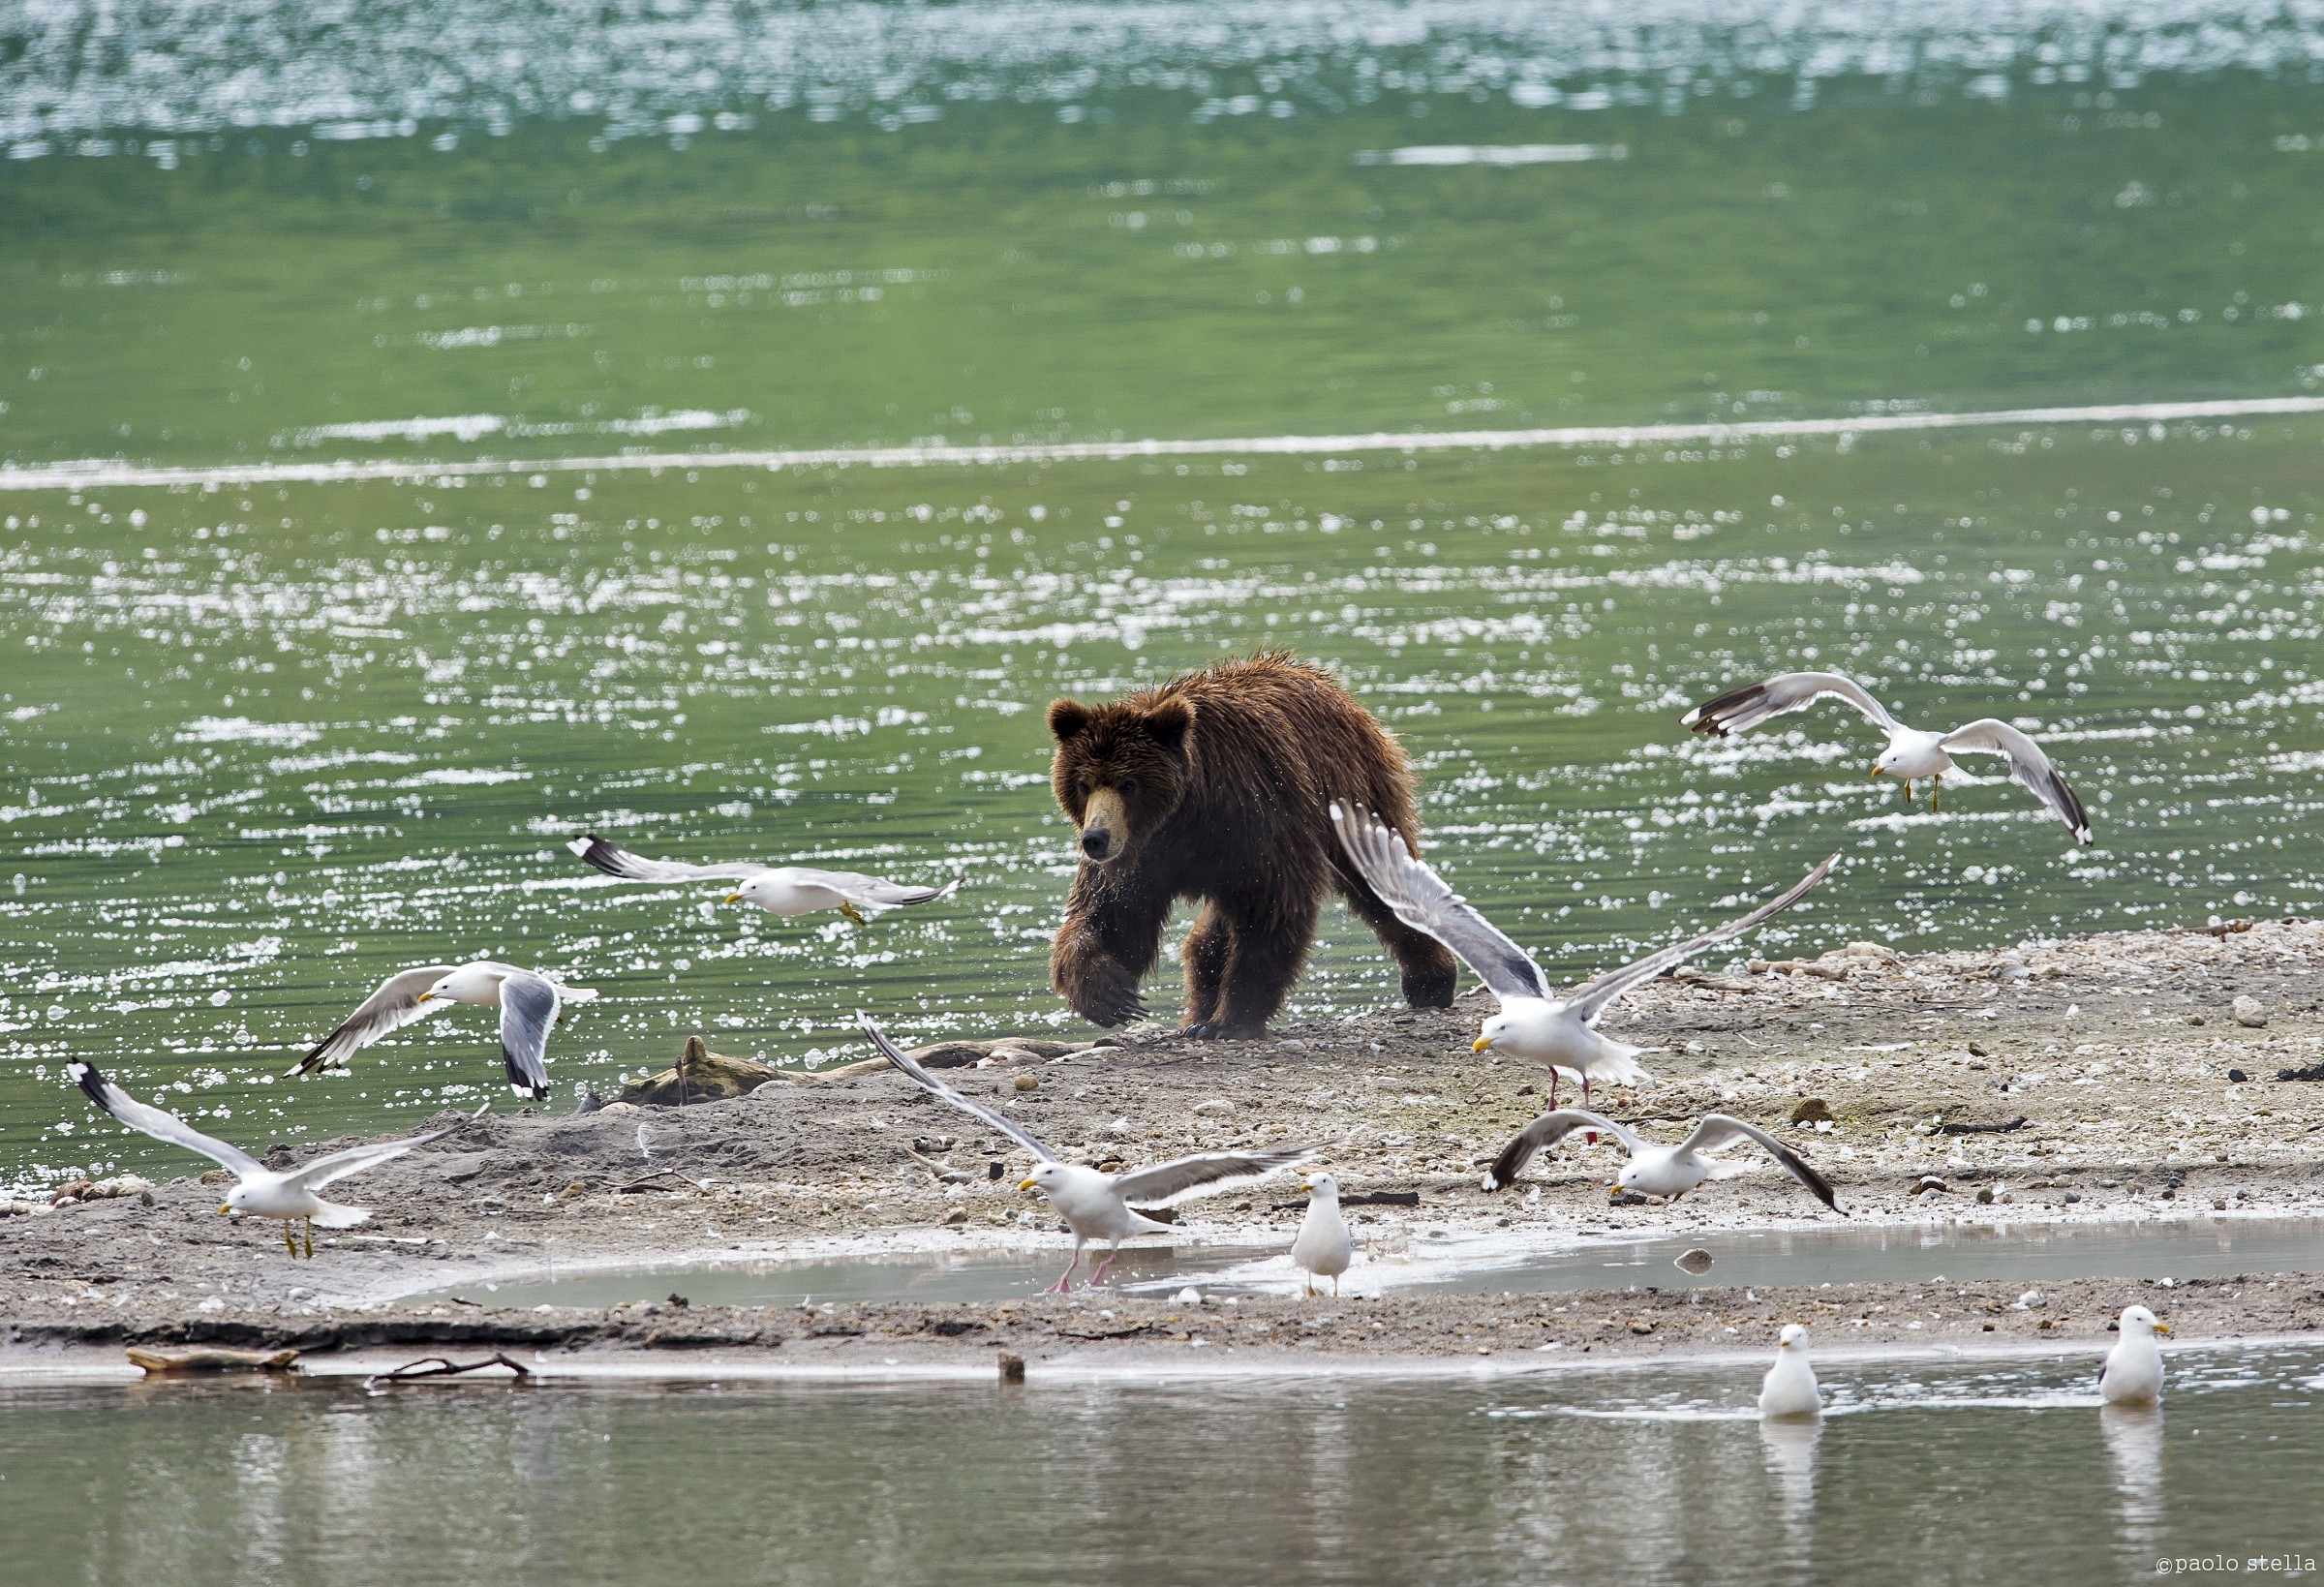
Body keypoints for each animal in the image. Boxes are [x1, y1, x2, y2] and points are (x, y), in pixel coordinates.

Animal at [1044, 652, 1460, 1039]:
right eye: (1083, 783)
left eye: (1128, 783)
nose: (1095, 839)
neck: (1185, 812)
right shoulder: (1146, 855)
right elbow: (1114, 915)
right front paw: (1110, 994)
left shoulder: (1252, 816)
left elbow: (1273, 908)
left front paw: (1232, 1020)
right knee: (1211, 935)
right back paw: (1196, 1015)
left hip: (1352, 794)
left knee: (1380, 886)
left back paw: (1431, 981)